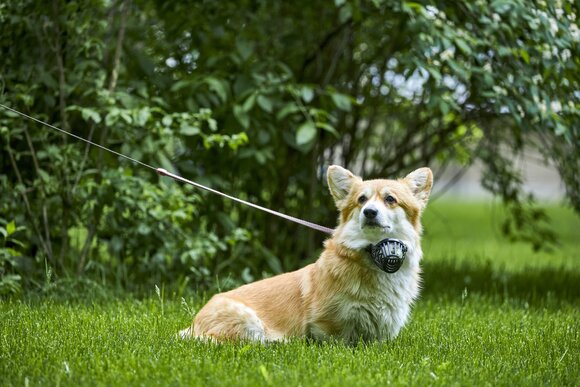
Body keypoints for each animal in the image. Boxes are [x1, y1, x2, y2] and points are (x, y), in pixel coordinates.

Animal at [179, 165, 432, 344]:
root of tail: (192, 325)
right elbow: (336, 340)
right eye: (361, 200)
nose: (369, 212)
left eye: (390, 199)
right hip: (249, 323)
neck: (372, 256)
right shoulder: (327, 325)